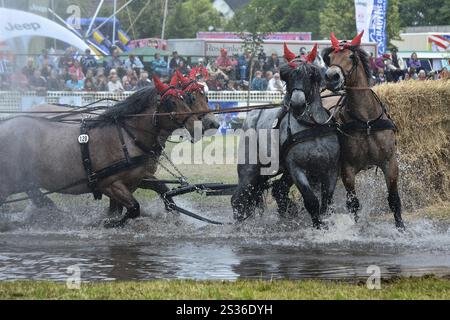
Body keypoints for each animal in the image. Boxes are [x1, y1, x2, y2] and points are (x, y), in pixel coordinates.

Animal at [0, 76, 200, 228]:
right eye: (171, 102)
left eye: (185, 98)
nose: (197, 125)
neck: (126, 136)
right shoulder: (110, 184)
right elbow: (133, 209)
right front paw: (107, 223)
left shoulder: (133, 181)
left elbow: (157, 194)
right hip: (9, 182)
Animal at [322, 31, 406, 229]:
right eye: (329, 58)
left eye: (351, 57)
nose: (331, 77)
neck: (366, 121)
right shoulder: (347, 170)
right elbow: (353, 204)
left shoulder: (389, 163)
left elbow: (393, 200)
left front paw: (401, 228)